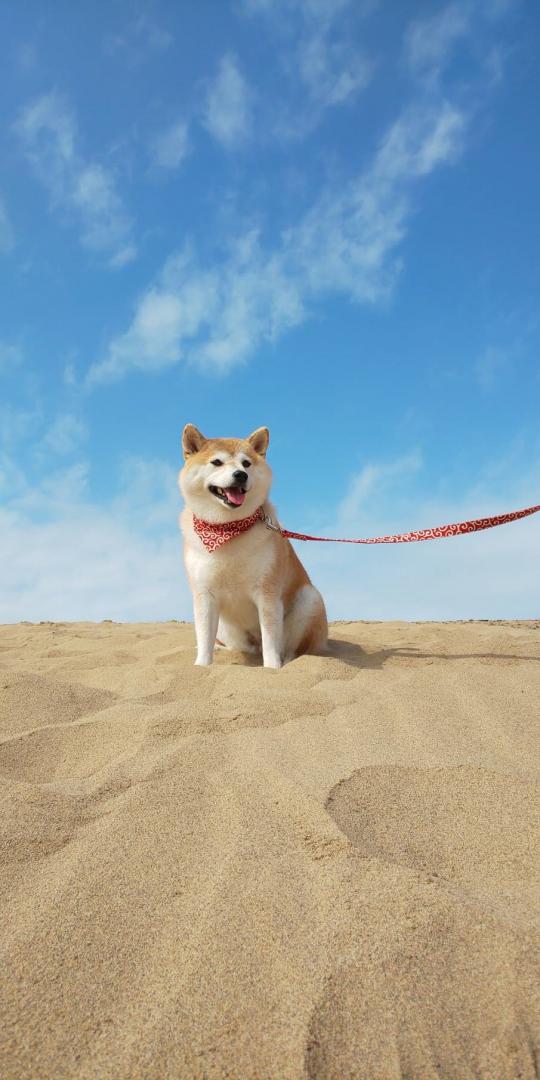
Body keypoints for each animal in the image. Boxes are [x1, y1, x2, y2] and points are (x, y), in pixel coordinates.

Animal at [179, 423, 326, 665]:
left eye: (246, 463)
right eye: (216, 462)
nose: (240, 475)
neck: (227, 528)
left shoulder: (267, 595)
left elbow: (271, 643)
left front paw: (272, 668)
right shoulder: (205, 595)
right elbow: (204, 638)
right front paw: (201, 665)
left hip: (309, 600)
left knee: (291, 650)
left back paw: (286, 662)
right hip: (227, 627)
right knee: (239, 647)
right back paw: (223, 649)